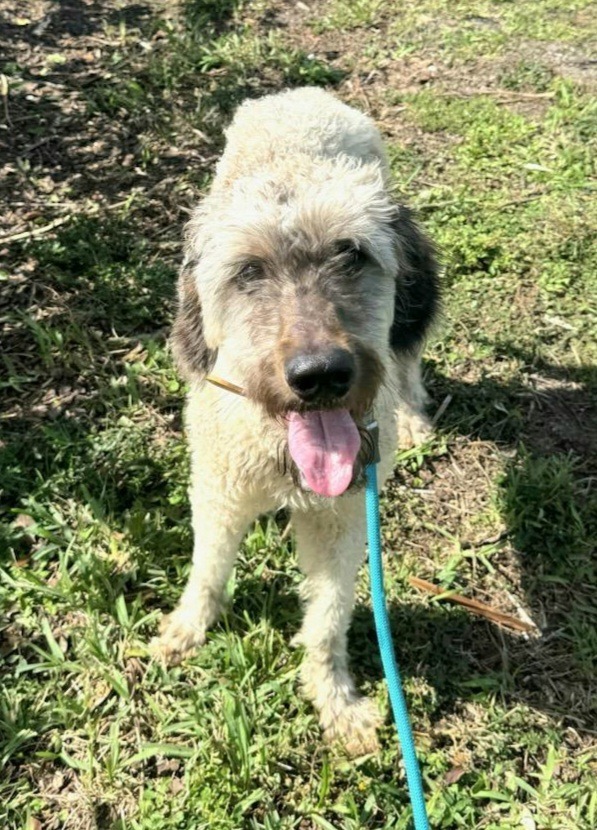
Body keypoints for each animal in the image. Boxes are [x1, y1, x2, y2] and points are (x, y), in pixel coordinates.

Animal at [154, 88, 438, 756]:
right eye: (248, 271)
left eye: (351, 254)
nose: (321, 375)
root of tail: (300, 94)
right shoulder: (219, 495)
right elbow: (207, 571)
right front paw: (186, 629)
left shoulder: (343, 521)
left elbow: (329, 616)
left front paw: (334, 698)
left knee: (408, 355)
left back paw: (414, 414)